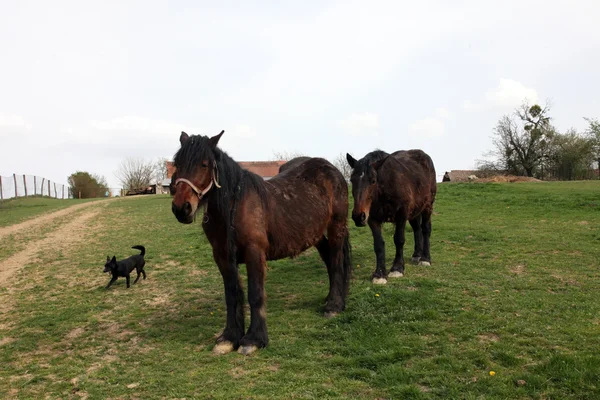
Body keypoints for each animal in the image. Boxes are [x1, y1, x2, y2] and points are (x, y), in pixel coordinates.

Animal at [171, 132, 352, 356]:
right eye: (177, 164)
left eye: (204, 164)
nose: (182, 208)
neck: (234, 206)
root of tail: (332, 170)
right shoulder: (222, 257)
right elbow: (231, 295)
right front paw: (229, 338)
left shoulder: (254, 253)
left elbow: (255, 294)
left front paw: (253, 340)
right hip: (316, 235)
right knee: (328, 259)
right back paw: (331, 299)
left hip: (336, 227)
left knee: (336, 261)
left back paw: (334, 306)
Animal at [346, 149, 436, 284]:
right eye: (352, 180)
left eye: (373, 181)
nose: (358, 216)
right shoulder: (373, 219)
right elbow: (378, 244)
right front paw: (379, 274)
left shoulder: (401, 215)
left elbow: (399, 240)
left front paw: (397, 268)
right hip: (414, 212)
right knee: (417, 229)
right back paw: (417, 255)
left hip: (427, 206)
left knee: (425, 230)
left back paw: (425, 258)